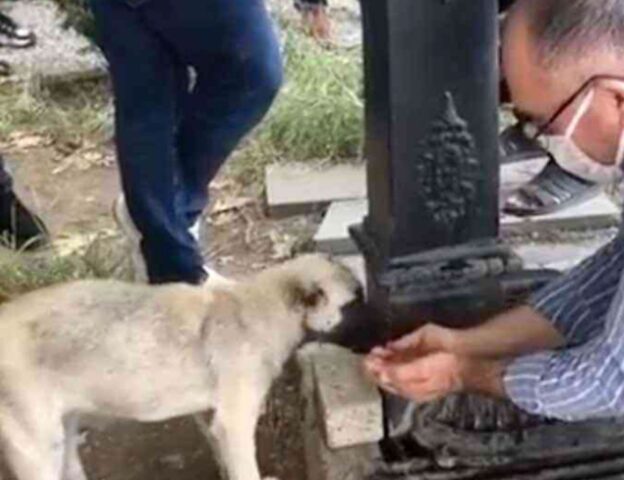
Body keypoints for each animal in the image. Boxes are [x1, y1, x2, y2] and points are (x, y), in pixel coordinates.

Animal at [0, 255, 366, 480]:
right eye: (356, 302)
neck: (263, 305)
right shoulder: (234, 423)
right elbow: (245, 470)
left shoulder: (213, 420)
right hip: (38, 451)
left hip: (64, 433)